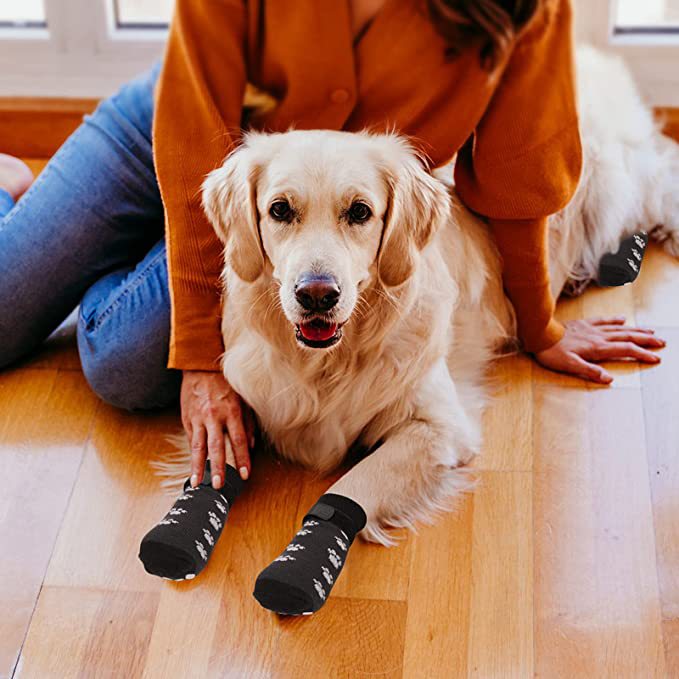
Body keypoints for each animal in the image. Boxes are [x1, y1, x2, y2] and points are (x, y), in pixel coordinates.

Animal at [157, 46, 679, 548]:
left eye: (360, 211)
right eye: (280, 210)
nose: (317, 295)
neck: (327, 366)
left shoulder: (437, 427)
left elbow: (352, 486)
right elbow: (223, 440)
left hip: (613, 187)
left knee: (661, 185)